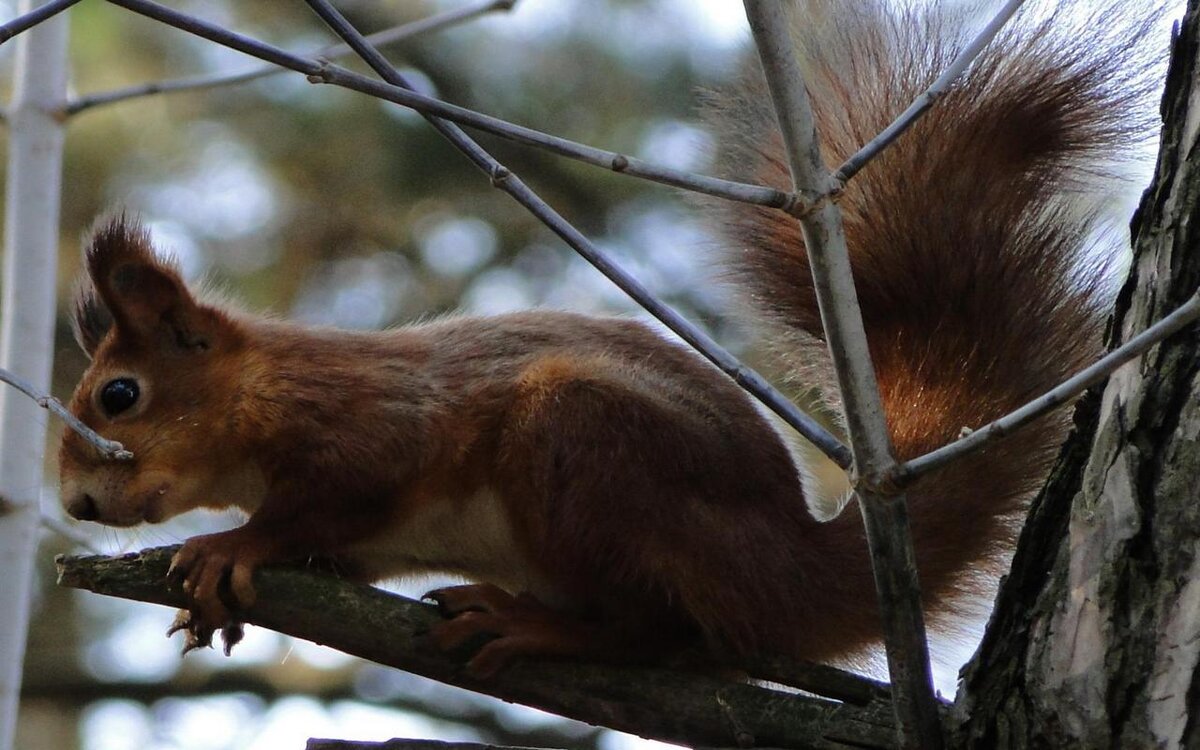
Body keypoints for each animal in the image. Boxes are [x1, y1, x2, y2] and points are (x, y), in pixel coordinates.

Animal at [56, 2, 1152, 676]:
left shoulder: (370, 423)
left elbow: (338, 492)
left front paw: (232, 543)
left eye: (120, 394)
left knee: (667, 633)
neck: (262, 394)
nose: (76, 504)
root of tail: (789, 562)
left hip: (584, 445)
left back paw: (540, 626)